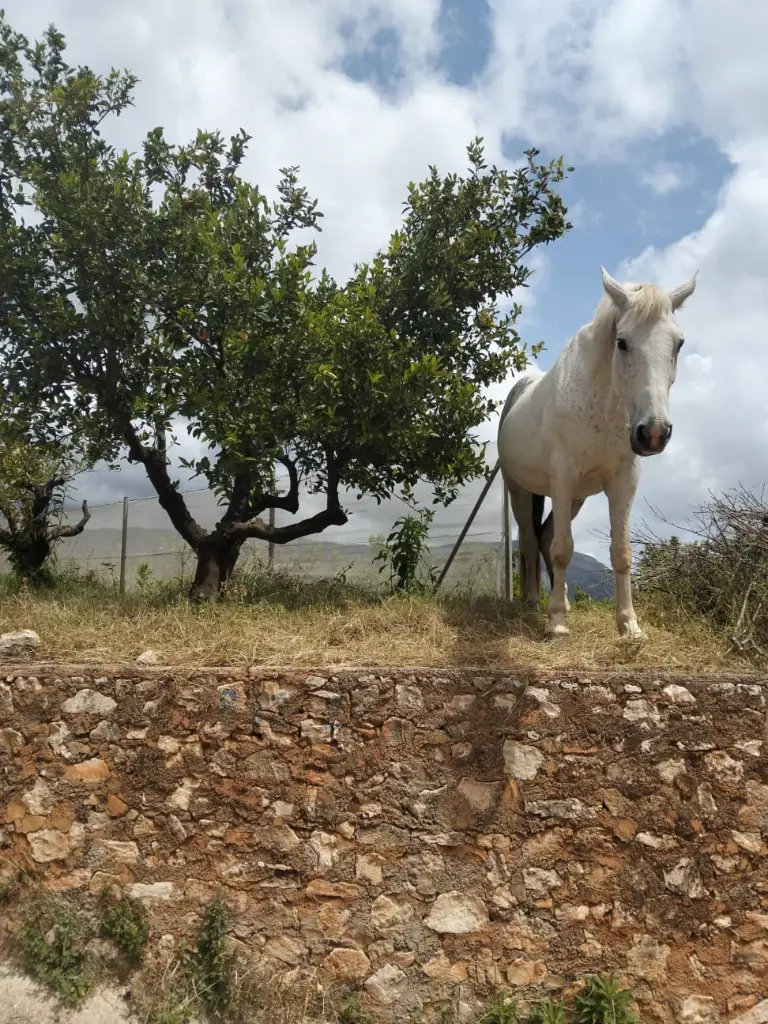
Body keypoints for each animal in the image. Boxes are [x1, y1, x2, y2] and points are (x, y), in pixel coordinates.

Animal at [497, 266, 697, 639]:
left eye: (678, 343)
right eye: (622, 342)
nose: (654, 433)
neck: (603, 403)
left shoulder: (622, 481)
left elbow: (621, 552)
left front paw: (629, 626)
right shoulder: (562, 477)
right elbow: (563, 549)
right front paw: (557, 624)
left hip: (576, 497)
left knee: (544, 536)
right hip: (521, 490)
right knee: (531, 539)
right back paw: (532, 602)